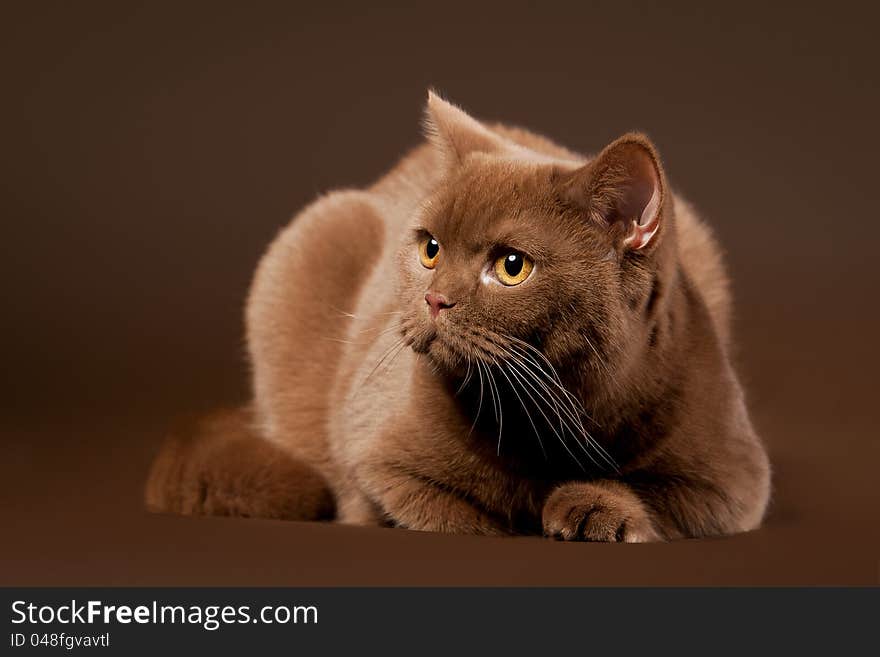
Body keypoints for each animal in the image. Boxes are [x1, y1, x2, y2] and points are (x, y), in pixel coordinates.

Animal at [148, 93, 772, 544]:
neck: (548, 418)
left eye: (512, 266)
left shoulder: (733, 477)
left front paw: (594, 510)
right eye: (430, 249)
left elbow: (662, 496)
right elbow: (440, 512)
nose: (435, 298)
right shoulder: (377, 455)